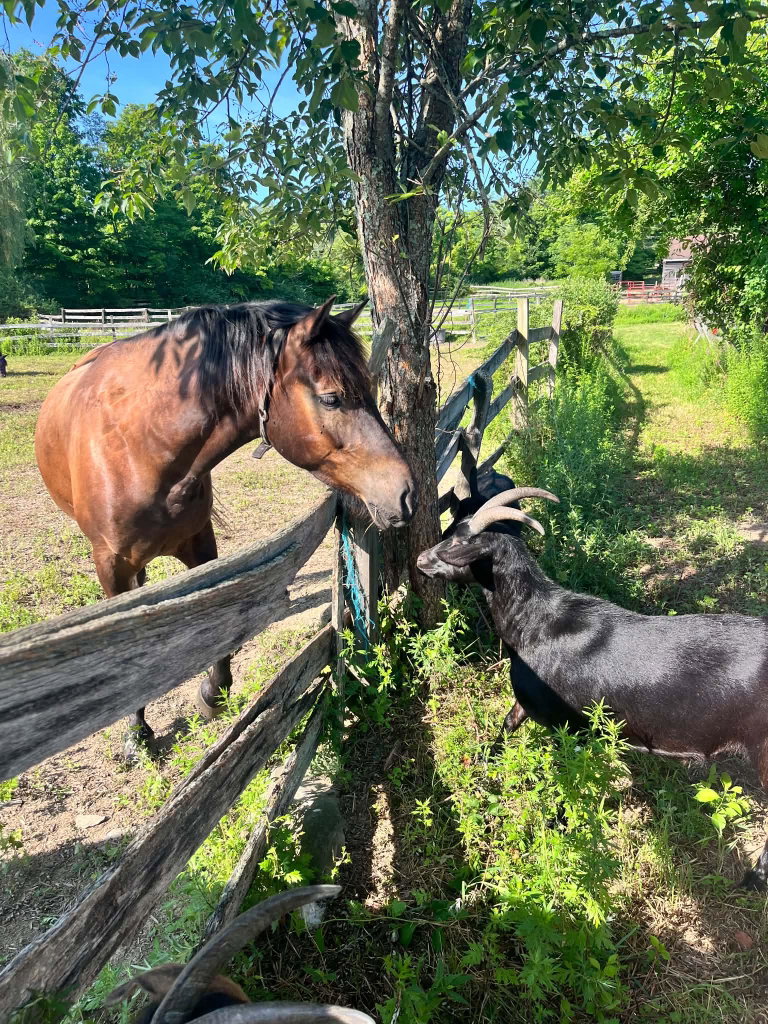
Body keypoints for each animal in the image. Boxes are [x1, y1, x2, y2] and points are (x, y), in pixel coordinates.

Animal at [418, 488, 768, 891]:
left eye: (459, 542)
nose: (421, 559)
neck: (536, 622)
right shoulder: (531, 700)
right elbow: (508, 722)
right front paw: (483, 757)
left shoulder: (571, 725)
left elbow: (568, 776)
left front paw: (556, 823)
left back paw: (753, 880)